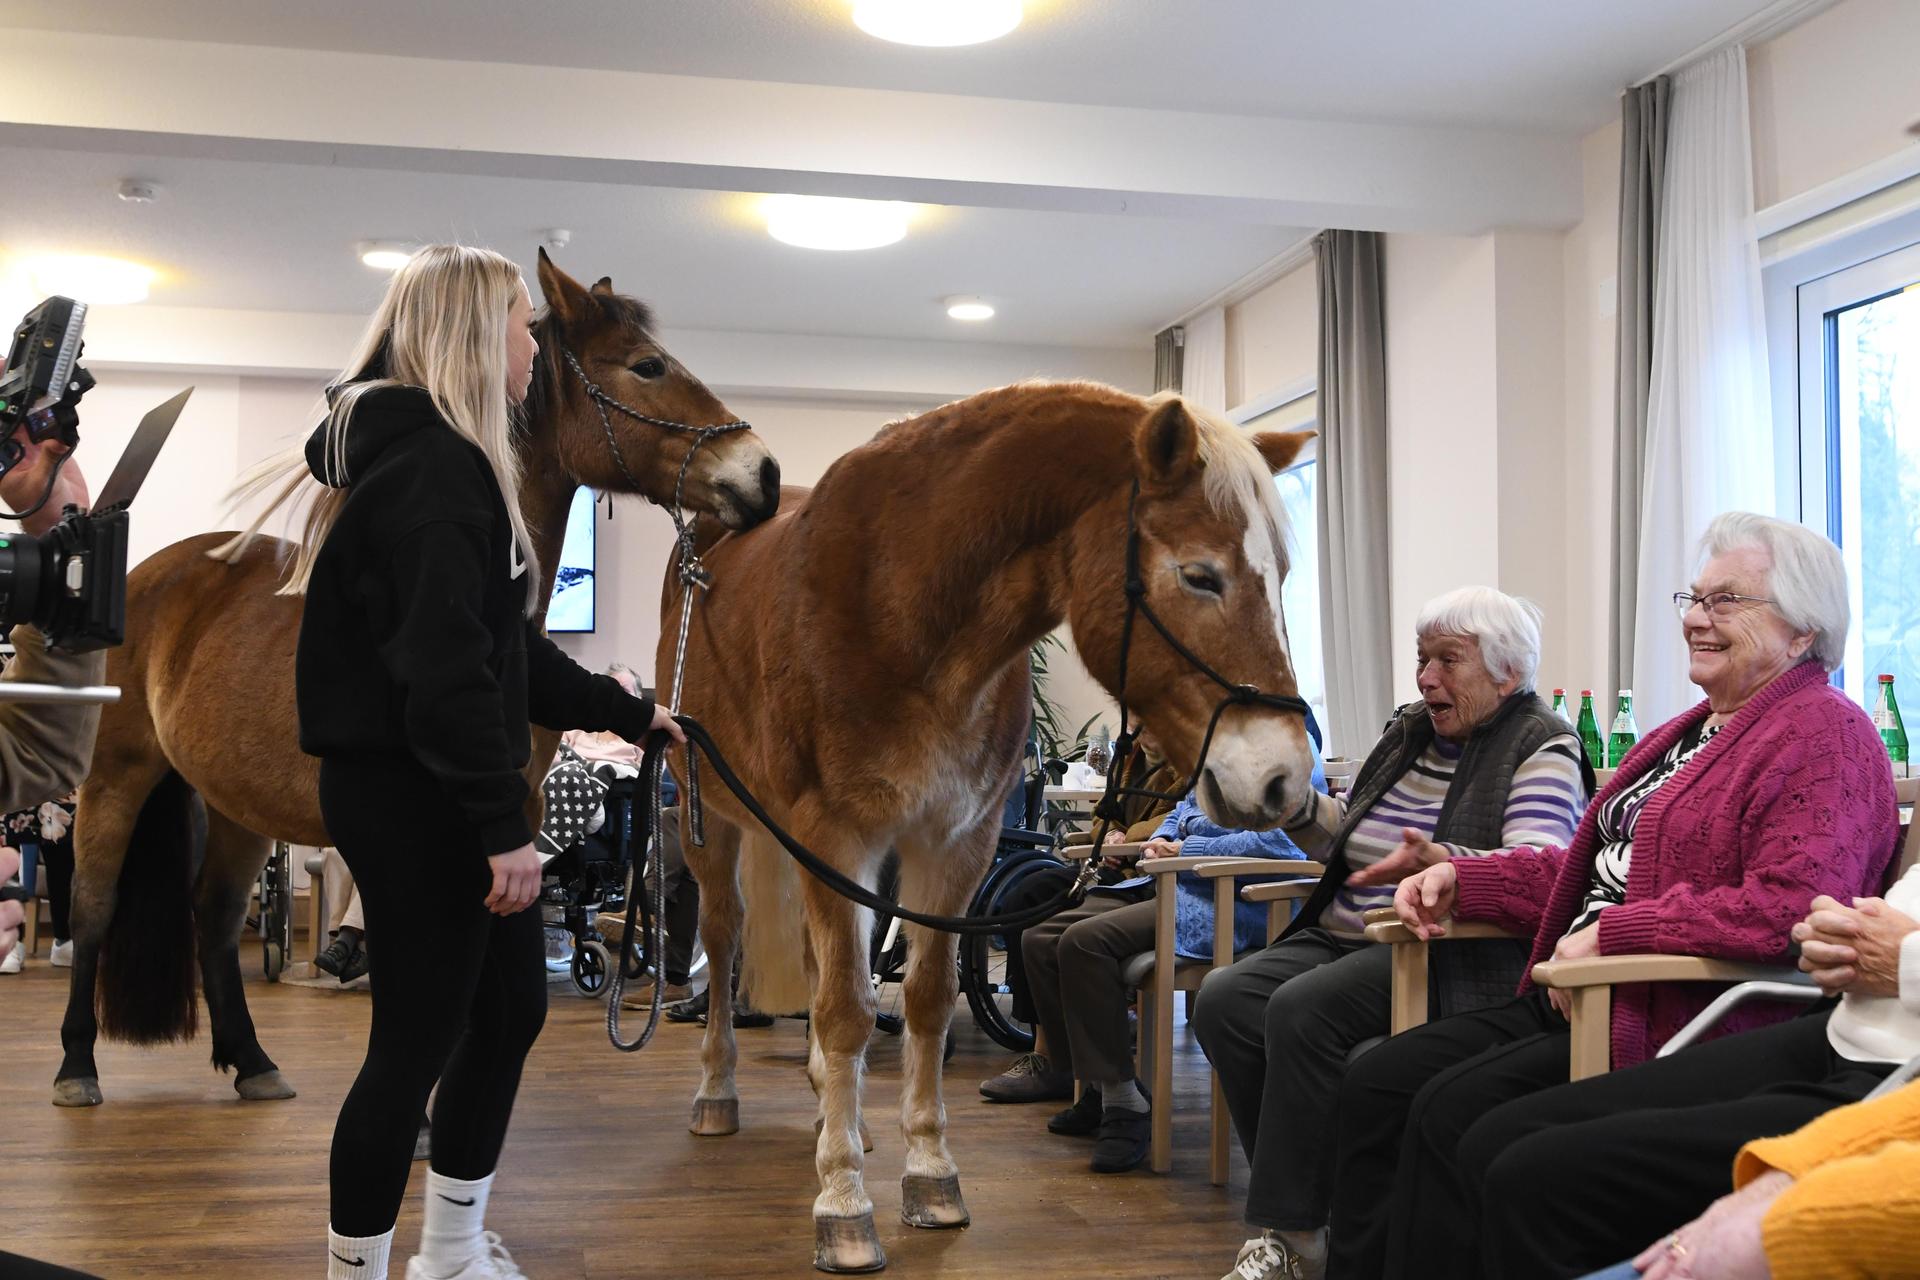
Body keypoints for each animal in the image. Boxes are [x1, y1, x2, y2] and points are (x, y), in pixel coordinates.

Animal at [52, 249, 782, 1108]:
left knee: (215, 916)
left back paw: (252, 1060)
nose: (765, 474)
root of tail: (147, 577)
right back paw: (76, 1066)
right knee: (92, 910)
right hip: (117, 779)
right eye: (646, 366)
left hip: (233, 805)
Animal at [659, 382, 1316, 1272]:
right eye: (1199, 575)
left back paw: (841, 1115)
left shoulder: (953, 847)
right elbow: (845, 1011)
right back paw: (718, 1094)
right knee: (725, 942)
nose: (1284, 779)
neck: (900, 610)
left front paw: (926, 1172)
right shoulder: (835, 838)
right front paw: (843, 1207)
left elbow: (925, 1000)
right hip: (715, 827)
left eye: (1281, 576)